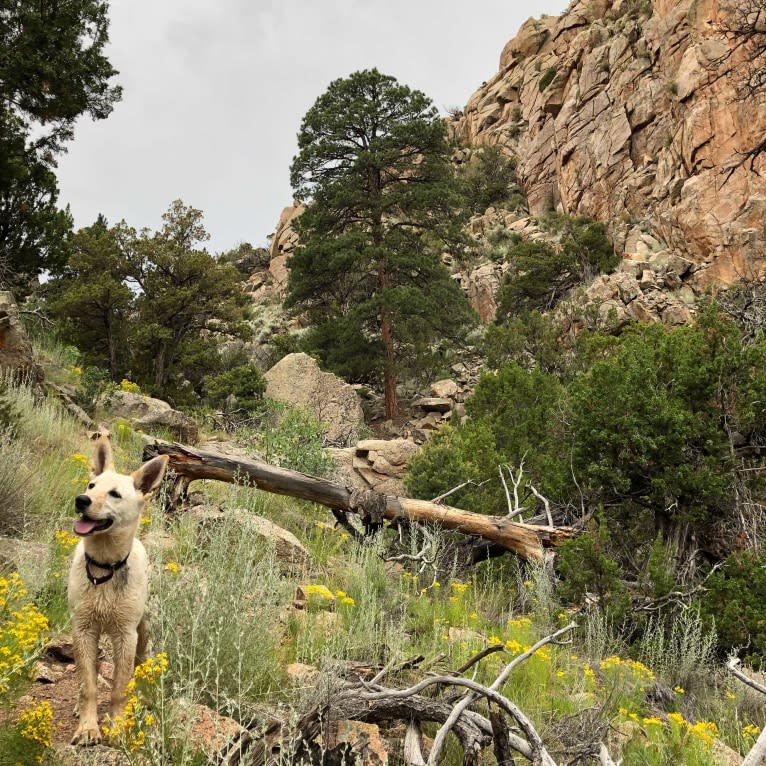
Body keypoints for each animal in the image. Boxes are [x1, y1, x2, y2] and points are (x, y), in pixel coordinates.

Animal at [68, 436, 170, 748]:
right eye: (91, 486)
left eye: (114, 494)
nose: (81, 500)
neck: (104, 569)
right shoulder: (83, 630)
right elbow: (88, 684)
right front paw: (88, 727)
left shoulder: (126, 635)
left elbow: (119, 689)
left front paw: (116, 728)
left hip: (143, 632)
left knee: (140, 665)